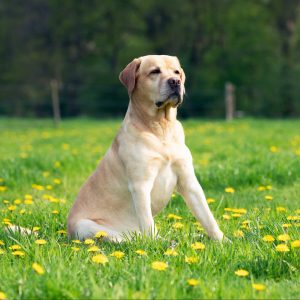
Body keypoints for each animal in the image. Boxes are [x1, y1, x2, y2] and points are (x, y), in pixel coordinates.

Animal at [67, 54, 224, 241]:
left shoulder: (189, 181)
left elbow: (207, 217)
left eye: (176, 72)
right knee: (124, 239)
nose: (175, 82)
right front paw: (156, 245)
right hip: (85, 225)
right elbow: (148, 224)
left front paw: (223, 241)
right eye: (155, 71)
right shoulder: (140, 185)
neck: (161, 128)